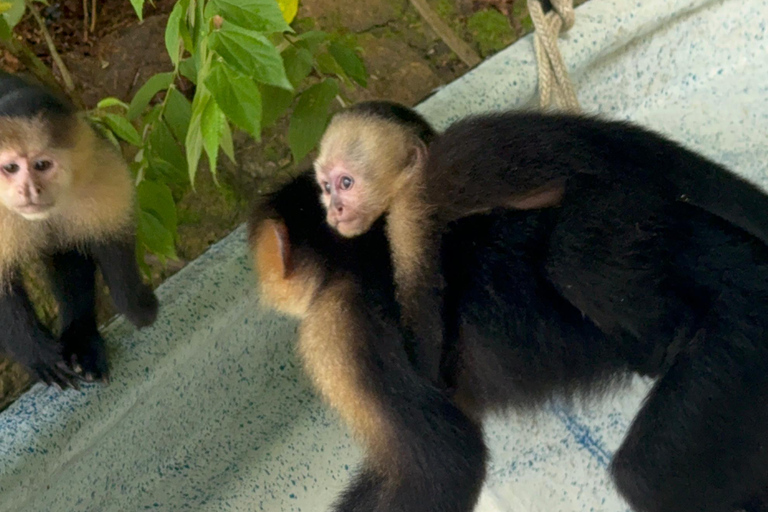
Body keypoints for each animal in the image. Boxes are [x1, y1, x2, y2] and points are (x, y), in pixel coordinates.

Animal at [0, 72, 158, 388]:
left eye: (42, 164)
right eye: (10, 168)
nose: (28, 190)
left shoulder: (97, 164)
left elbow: (106, 239)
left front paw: (135, 305)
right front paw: (39, 356)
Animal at [313, 100, 768, 387]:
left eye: (346, 183)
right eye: (325, 188)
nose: (334, 211)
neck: (414, 173)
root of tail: (622, 142)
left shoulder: (411, 213)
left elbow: (426, 350)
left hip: (619, 193)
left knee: (574, 267)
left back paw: (672, 337)